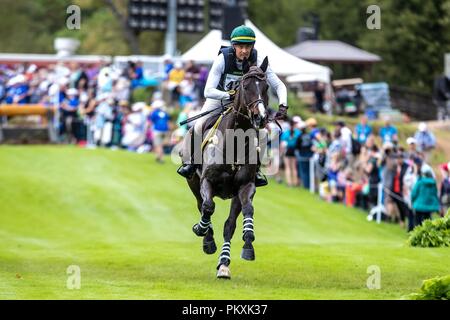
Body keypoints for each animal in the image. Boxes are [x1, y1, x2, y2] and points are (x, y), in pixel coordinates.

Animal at [184, 56, 270, 278]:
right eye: (245, 86)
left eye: (266, 87)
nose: (260, 117)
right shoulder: (206, 181)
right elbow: (208, 207)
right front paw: (201, 230)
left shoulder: (245, 186)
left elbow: (246, 212)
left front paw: (248, 243)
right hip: (193, 182)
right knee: (201, 206)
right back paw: (207, 239)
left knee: (228, 225)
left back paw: (223, 264)